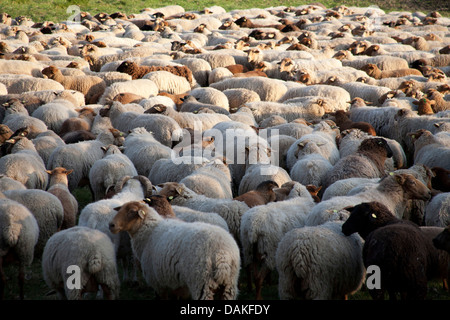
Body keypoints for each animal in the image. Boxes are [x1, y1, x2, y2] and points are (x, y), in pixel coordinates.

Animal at [109, 200, 243, 300]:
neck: (149, 232)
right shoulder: (176, 284)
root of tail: (222, 252)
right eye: (120, 209)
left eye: (131, 211)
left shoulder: (158, 282)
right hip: (229, 286)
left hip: (202, 283)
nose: (111, 225)